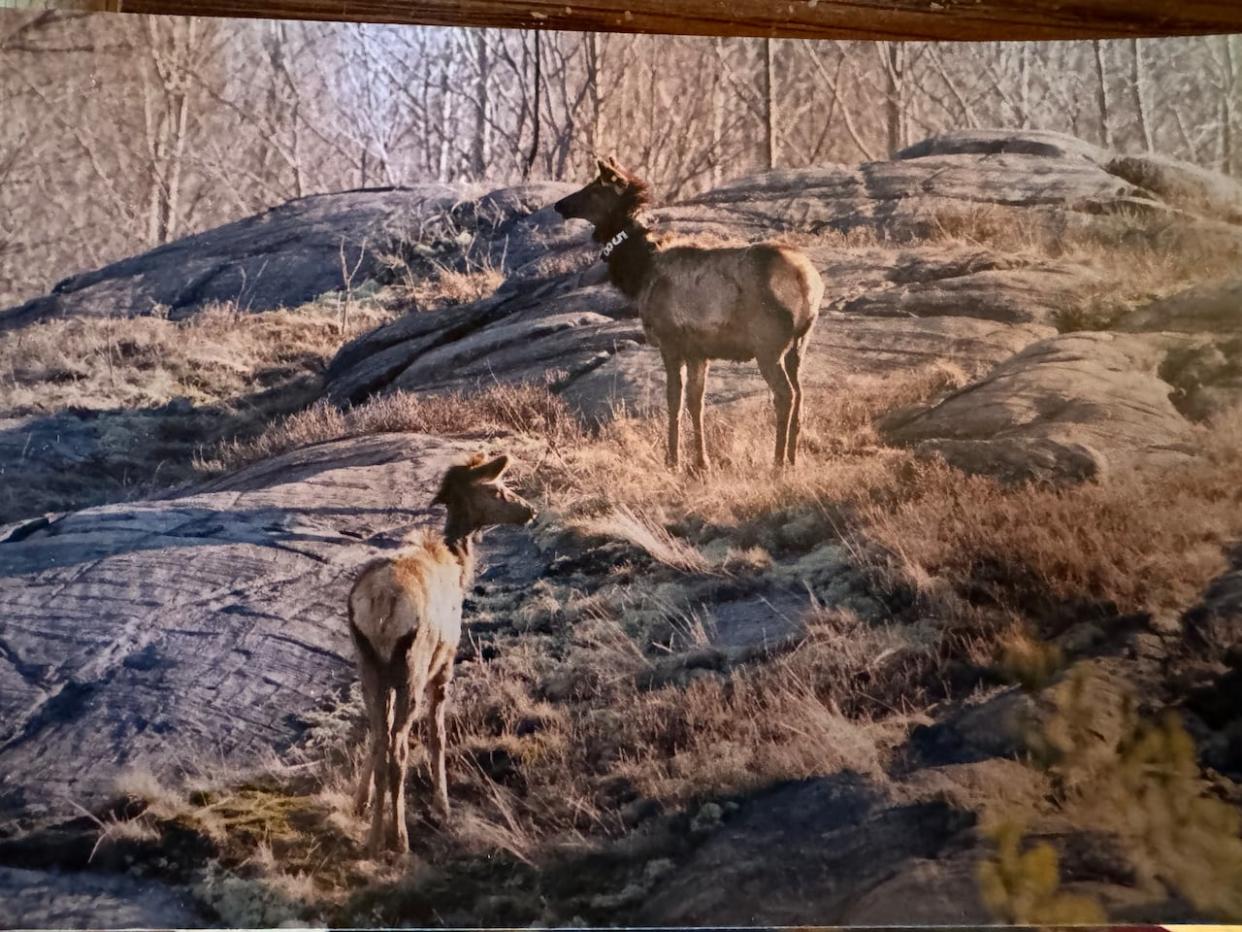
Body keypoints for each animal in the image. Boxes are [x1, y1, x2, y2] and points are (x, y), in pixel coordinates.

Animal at [345, 452, 534, 854]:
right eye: (497, 488)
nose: (529, 509)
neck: (459, 565)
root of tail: (381, 605)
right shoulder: (446, 662)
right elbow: (438, 733)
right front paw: (441, 803)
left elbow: (373, 738)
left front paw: (360, 802)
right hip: (413, 667)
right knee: (399, 748)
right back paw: (399, 839)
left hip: (368, 663)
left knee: (380, 739)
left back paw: (374, 838)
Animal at [553, 157, 824, 474]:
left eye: (595, 188)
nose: (560, 204)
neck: (640, 272)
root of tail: (808, 282)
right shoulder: (699, 352)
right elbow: (696, 403)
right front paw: (701, 462)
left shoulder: (671, 343)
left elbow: (674, 402)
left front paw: (672, 460)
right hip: (800, 343)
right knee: (800, 393)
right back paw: (793, 459)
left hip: (768, 345)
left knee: (785, 395)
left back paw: (778, 463)